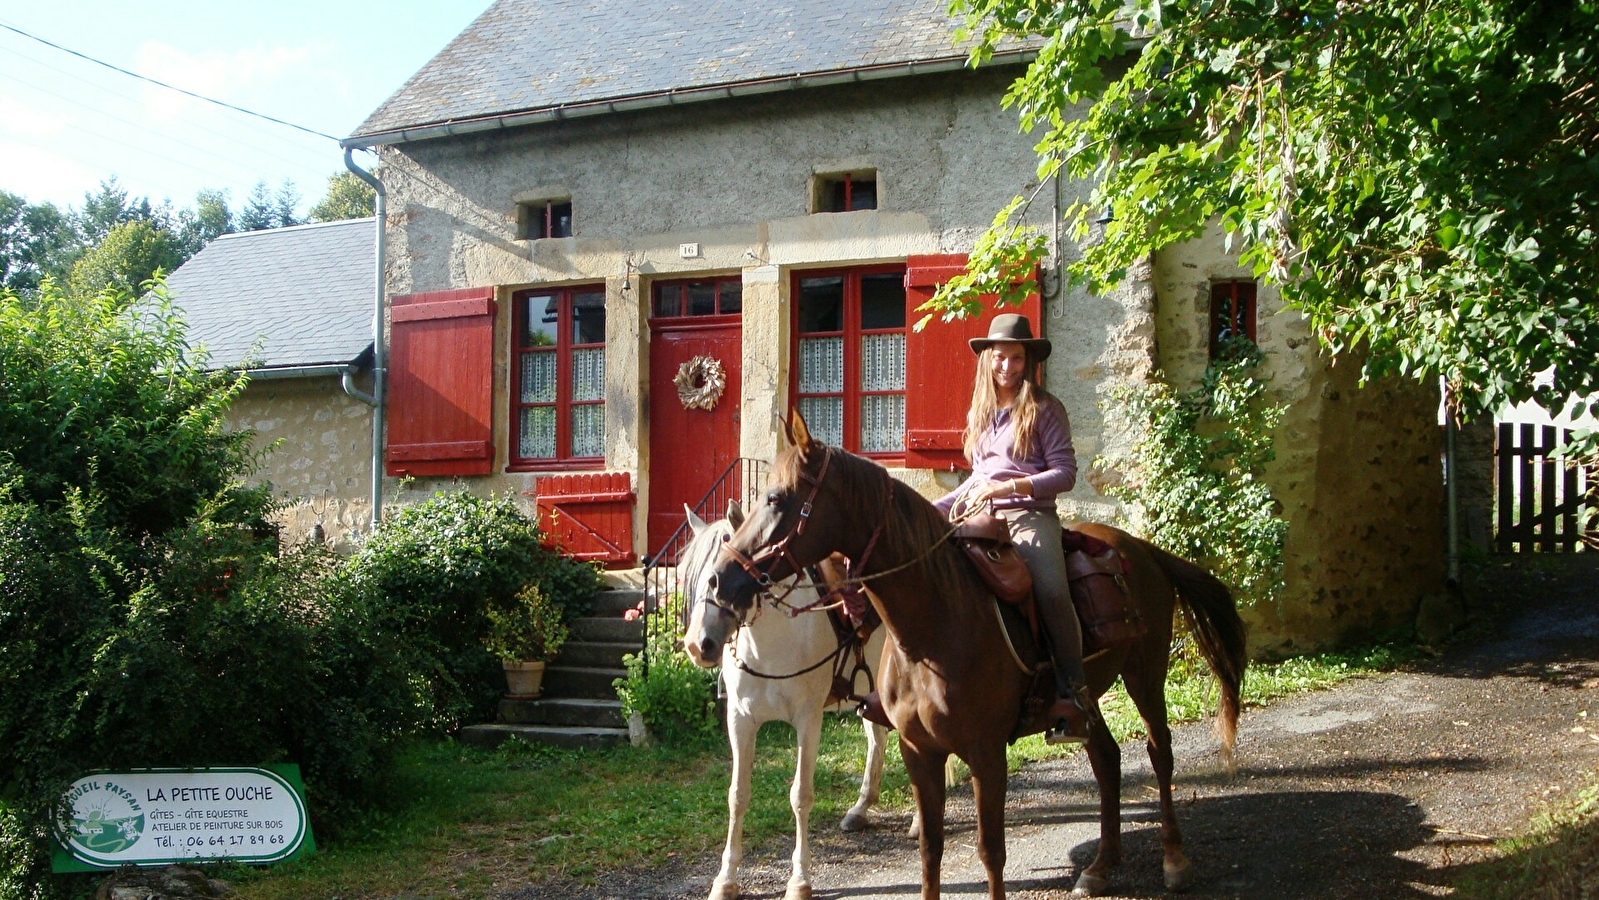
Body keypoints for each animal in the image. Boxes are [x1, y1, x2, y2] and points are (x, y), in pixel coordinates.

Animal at [677, 505, 895, 900]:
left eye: (722, 580)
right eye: (694, 579)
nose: (700, 645)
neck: (772, 643)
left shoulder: (808, 721)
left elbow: (800, 795)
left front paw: (799, 880)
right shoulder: (740, 721)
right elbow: (737, 795)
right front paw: (725, 879)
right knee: (878, 739)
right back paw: (859, 810)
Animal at [713, 415, 1247, 900]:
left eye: (778, 498)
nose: (722, 579)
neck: (935, 625)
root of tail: (1143, 550)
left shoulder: (987, 753)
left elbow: (992, 851)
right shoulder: (919, 750)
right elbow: (930, 849)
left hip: (1146, 674)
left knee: (1160, 754)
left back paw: (1174, 860)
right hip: (1089, 696)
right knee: (1108, 759)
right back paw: (1099, 867)